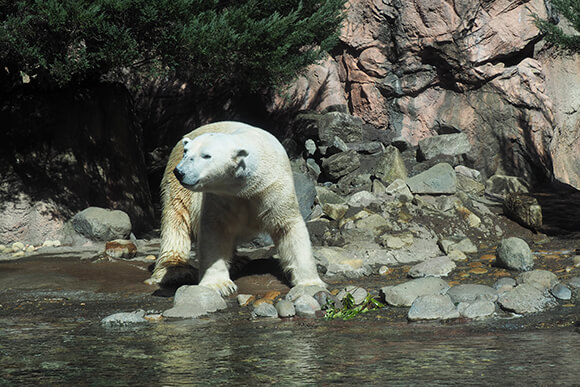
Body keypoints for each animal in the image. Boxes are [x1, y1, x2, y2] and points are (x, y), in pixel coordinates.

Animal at [145, 122, 326, 298]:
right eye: (186, 153)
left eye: (206, 155)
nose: (180, 172)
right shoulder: (220, 196)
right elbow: (215, 231)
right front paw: (220, 285)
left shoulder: (273, 187)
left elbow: (289, 228)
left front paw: (310, 284)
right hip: (178, 190)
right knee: (177, 219)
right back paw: (177, 272)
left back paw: (237, 261)